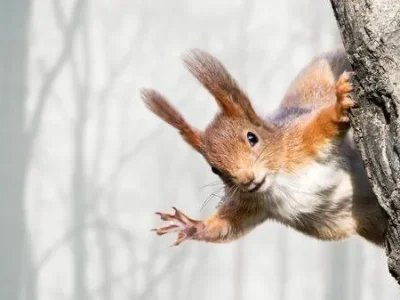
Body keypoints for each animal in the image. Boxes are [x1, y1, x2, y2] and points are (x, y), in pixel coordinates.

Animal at [141, 48, 388, 246]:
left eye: (252, 137)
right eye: (214, 169)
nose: (247, 179)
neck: (278, 180)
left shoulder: (301, 140)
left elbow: (323, 123)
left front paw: (339, 105)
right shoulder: (250, 203)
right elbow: (227, 226)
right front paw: (191, 226)